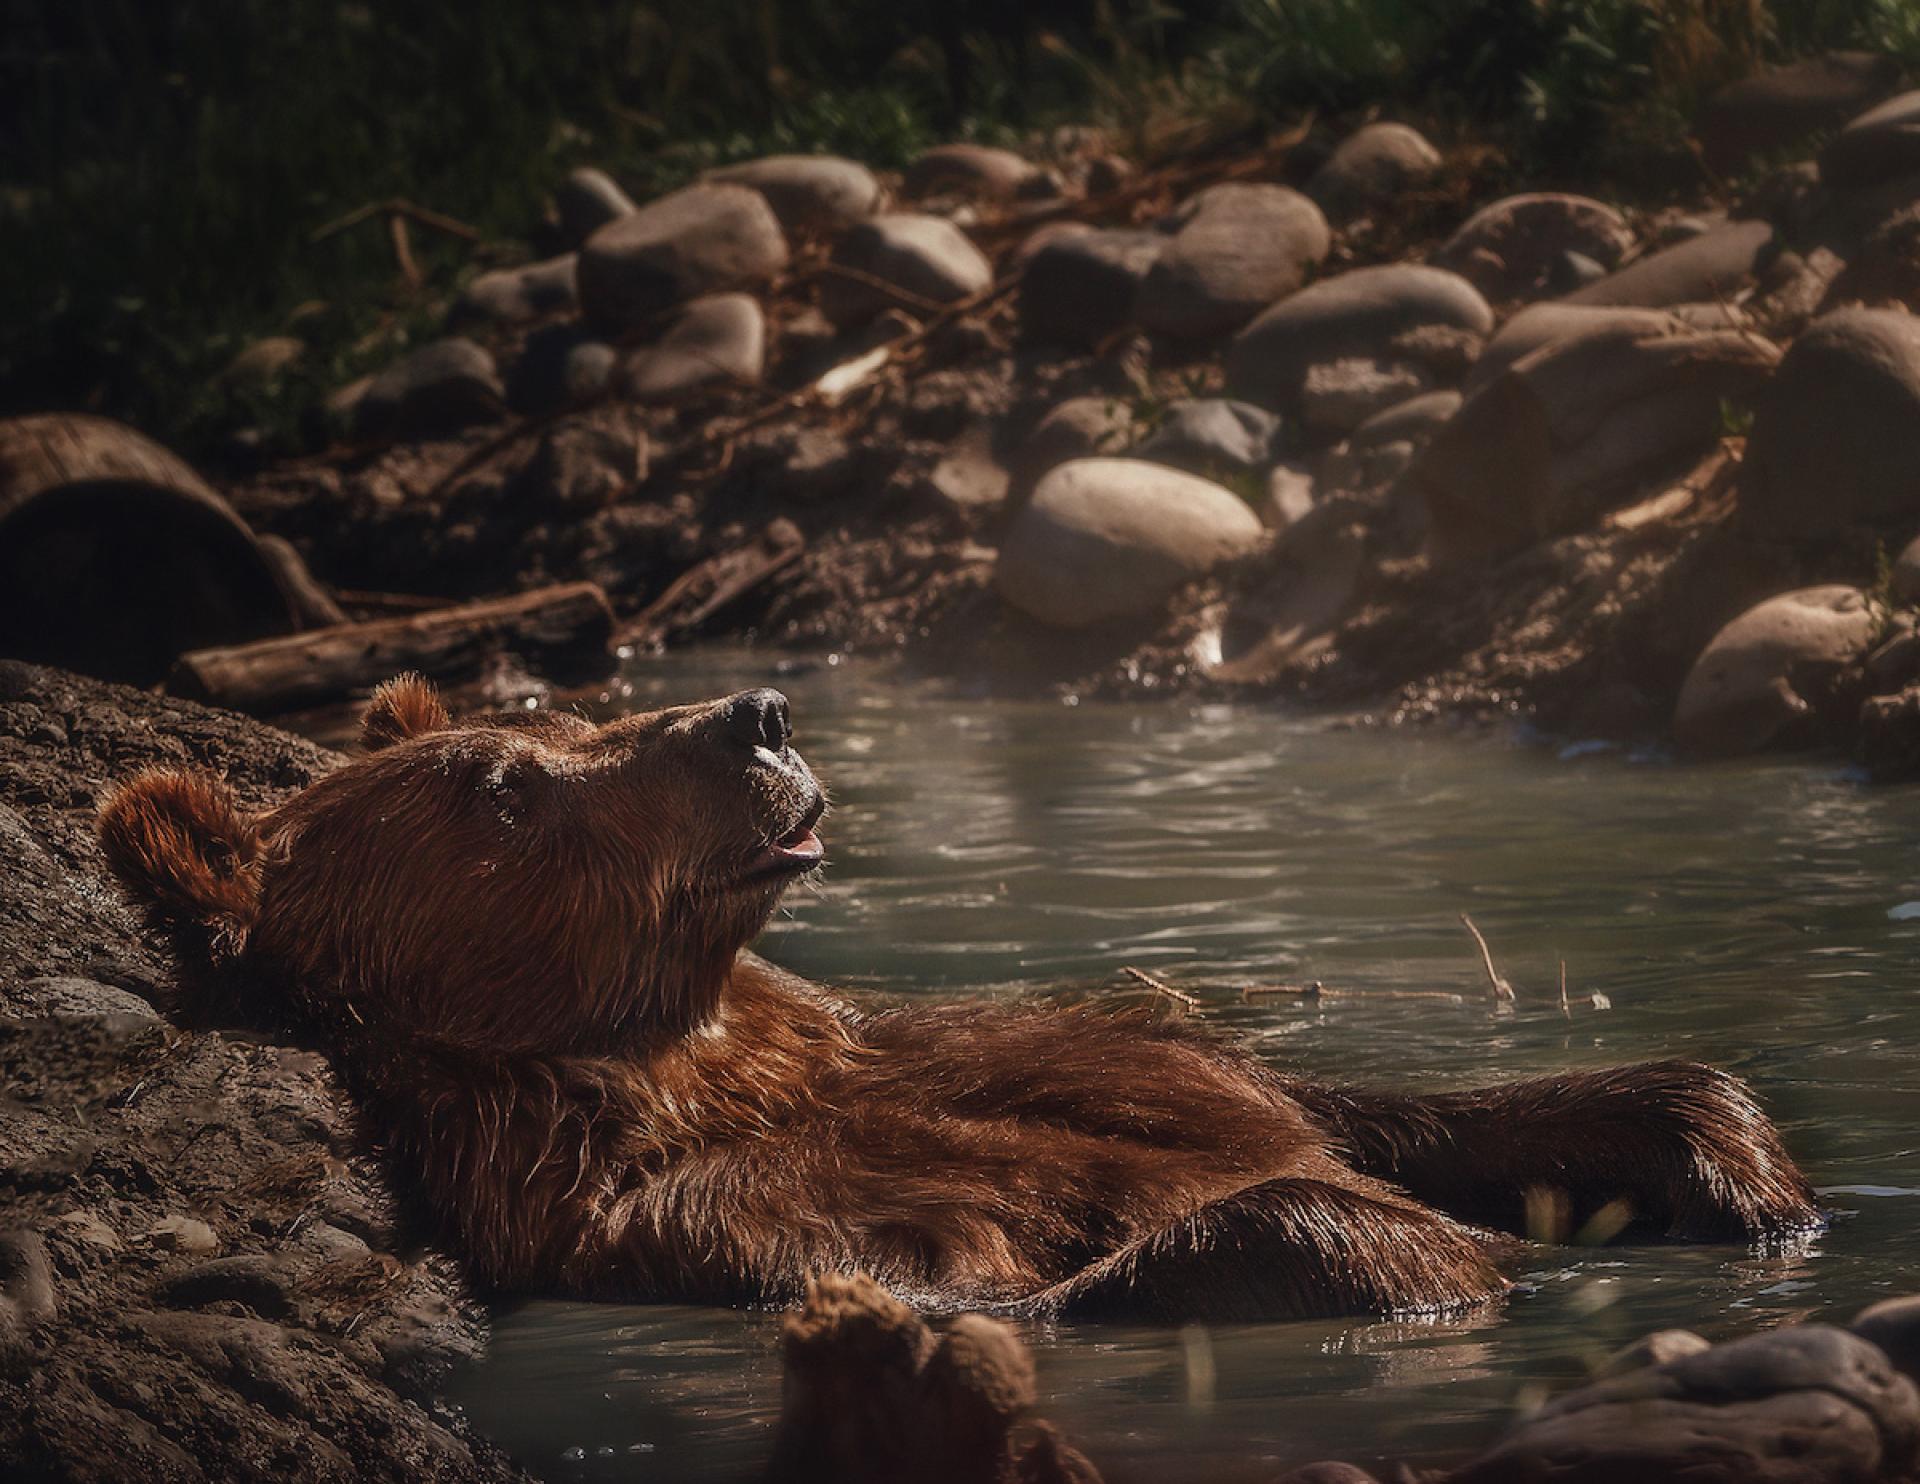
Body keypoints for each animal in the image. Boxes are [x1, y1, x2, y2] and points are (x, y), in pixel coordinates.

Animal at [97, 674, 1820, 1321]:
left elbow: (1334, 1106)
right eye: (508, 795)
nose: (753, 710)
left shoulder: (946, 1048)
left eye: (558, 707)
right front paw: (1421, 1252)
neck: (705, 1058)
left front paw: (1727, 1158)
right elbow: (1007, 1284)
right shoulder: (712, 1222)